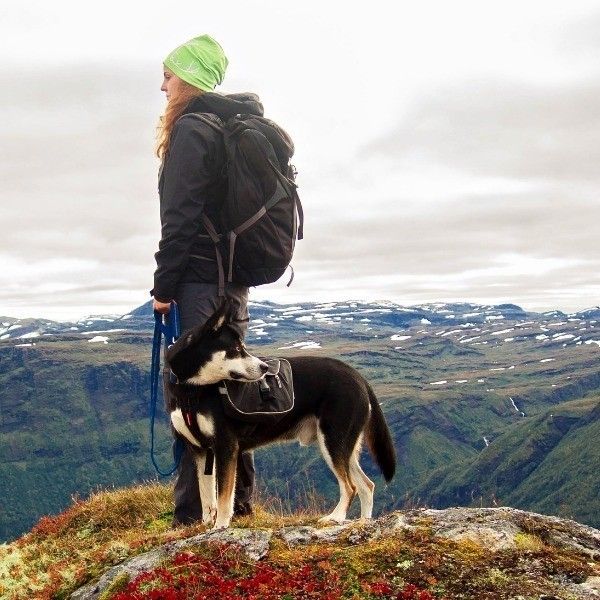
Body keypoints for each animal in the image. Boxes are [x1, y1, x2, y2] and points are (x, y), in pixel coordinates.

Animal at [165, 301, 396, 529]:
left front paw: (220, 526)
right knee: (367, 485)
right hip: (343, 446)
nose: (264, 367)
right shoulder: (200, 450)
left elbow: (223, 497)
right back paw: (364, 522)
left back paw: (336, 517)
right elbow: (207, 496)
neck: (191, 390)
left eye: (242, 347)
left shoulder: (226, 446)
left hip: (333, 441)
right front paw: (205, 526)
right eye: (236, 349)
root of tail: (359, 377)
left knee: (350, 486)